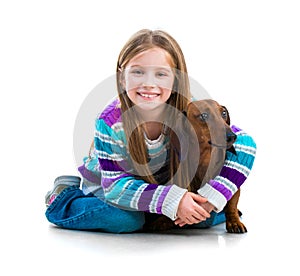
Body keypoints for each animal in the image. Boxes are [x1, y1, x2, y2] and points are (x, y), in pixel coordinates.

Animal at [145, 99, 246, 233]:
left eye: (224, 113)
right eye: (203, 116)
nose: (232, 136)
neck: (204, 160)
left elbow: (231, 204)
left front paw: (234, 222)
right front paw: (162, 220)